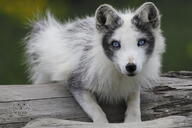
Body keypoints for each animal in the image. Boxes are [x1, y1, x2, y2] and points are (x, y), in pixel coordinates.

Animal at [25, 1, 165, 122]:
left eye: (141, 42)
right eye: (115, 44)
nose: (131, 67)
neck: (118, 74)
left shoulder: (134, 82)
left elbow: (135, 102)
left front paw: (133, 121)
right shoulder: (76, 82)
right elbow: (97, 110)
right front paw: (102, 122)